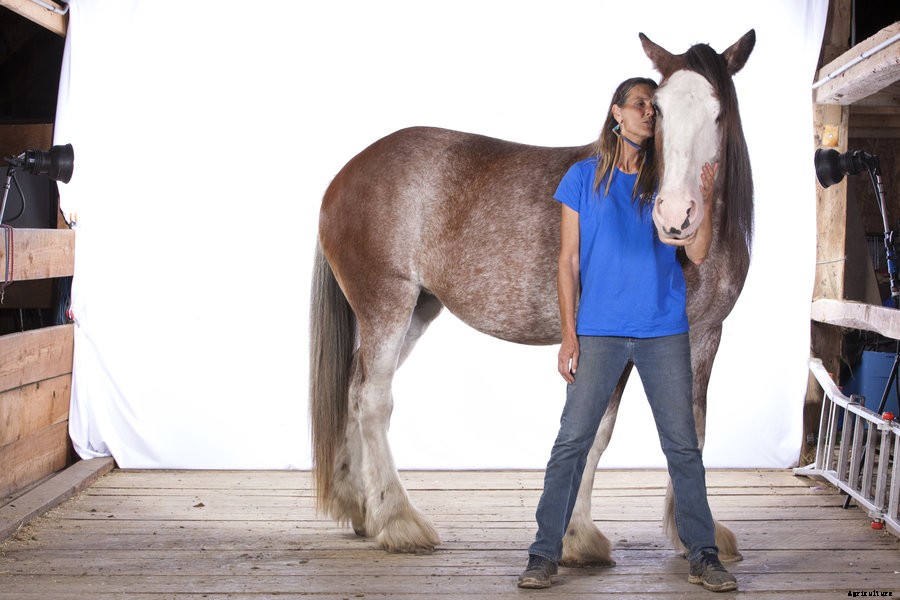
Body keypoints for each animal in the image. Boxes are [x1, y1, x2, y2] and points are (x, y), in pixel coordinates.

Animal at [310, 30, 755, 566]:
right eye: (659, 110)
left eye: (718, 112)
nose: (675, 215)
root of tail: (345, 175)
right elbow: (597, 433)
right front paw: (578, 536)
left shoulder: (705, 336)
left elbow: (691, 429)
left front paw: (694, 533)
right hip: (387, 305)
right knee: (373, 399)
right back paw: (398, 520)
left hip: (417, 309)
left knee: (354, 391)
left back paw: (361, 509)